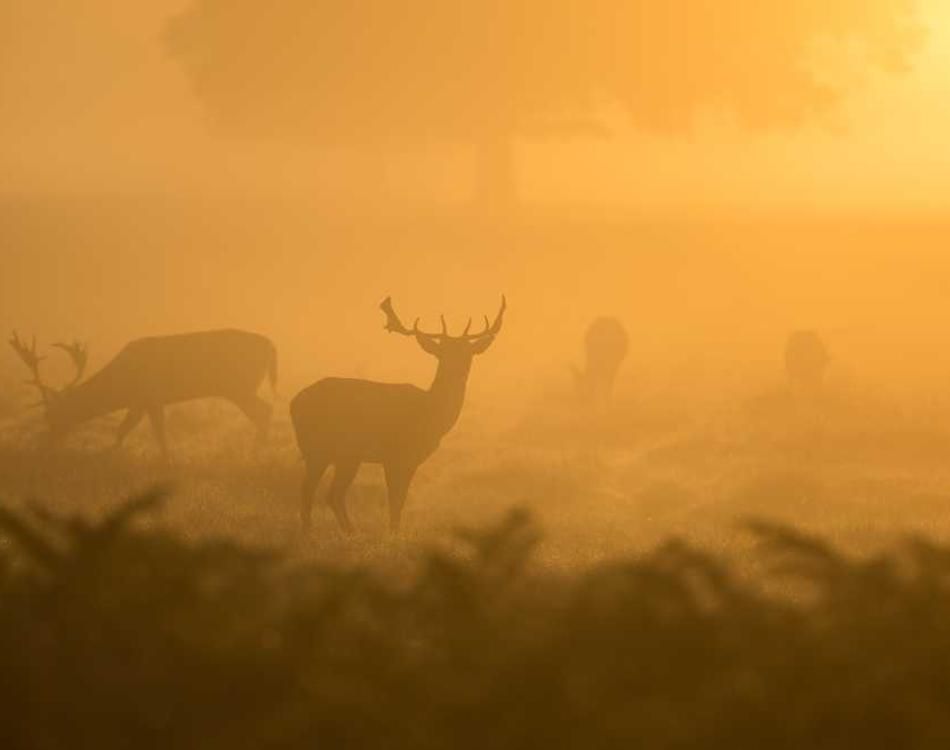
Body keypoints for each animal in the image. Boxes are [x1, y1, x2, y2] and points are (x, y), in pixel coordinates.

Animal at [9, 328, 278, 458]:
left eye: (54, 416)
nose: (44, 446)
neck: (122, 384)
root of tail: (271, 345)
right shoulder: (141, 401)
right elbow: (124, 429)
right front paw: (113, 452)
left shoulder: (151, 396)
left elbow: (154, 431)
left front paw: (166, 460)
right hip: (240, 388)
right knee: (264, 411)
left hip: (239, 386)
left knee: (264, 411)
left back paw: (256, 453)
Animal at [294, 296, 510, 536]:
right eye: (442, 353)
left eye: (468, 353)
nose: (458, 371)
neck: (431, 415)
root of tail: (294, 402)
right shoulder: (395, 454)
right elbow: (395, 500)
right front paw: (393, 534)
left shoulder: (411, 459)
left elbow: (401, 499)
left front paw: (394, 532)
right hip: (318, 448)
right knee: (309, 490)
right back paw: (310, 532)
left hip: (346, 455)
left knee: (333, 494)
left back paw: (349, 532)